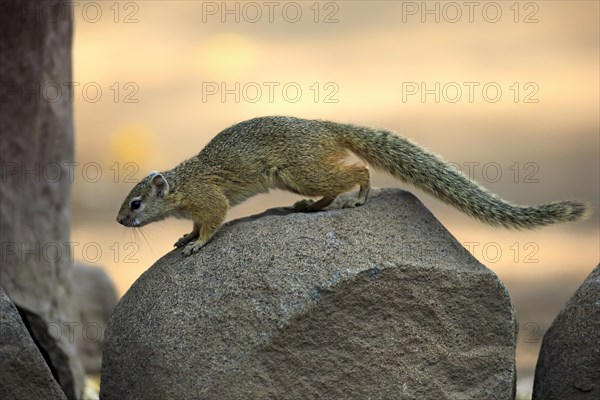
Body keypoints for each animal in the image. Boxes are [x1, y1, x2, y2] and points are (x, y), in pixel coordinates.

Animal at [117, 115, 592, 256]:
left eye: (136, 203)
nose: (120, 220)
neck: (180, 185)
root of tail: (325, 127)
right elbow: (196, 224)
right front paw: (185, 237)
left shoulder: (209, 198)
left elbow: (214, 222)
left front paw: (197, 244)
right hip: (300, 177)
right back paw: (312, 208)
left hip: (300, 172)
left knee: (359, 171)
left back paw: (359, 197)